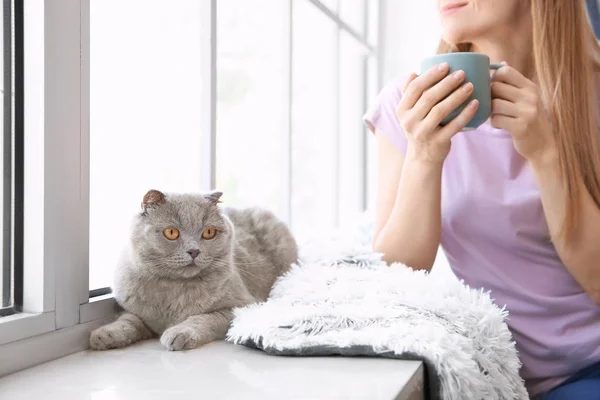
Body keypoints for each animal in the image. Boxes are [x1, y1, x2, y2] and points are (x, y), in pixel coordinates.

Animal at [89, 189, 298, 352]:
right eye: (171, 233)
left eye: (209, 233)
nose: (194, 251)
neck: (173, 290)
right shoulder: (138, 310)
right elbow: (129, 320)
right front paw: (104, 334)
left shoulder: (242, 306)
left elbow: (204, 318)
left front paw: (179, 332)